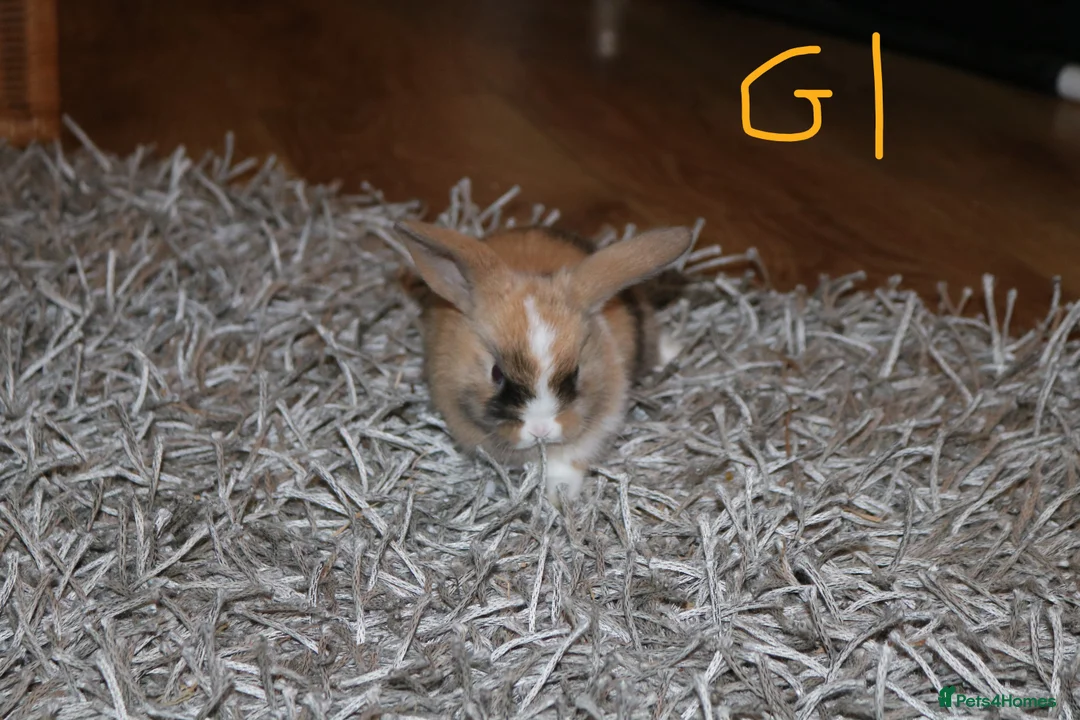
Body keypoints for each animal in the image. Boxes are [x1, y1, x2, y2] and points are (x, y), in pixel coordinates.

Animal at [394, 219, 692, 503]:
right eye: (496, 373)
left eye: (576, 373)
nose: (541, 430)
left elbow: (566, 465)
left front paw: (559, 499)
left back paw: (674, 350)